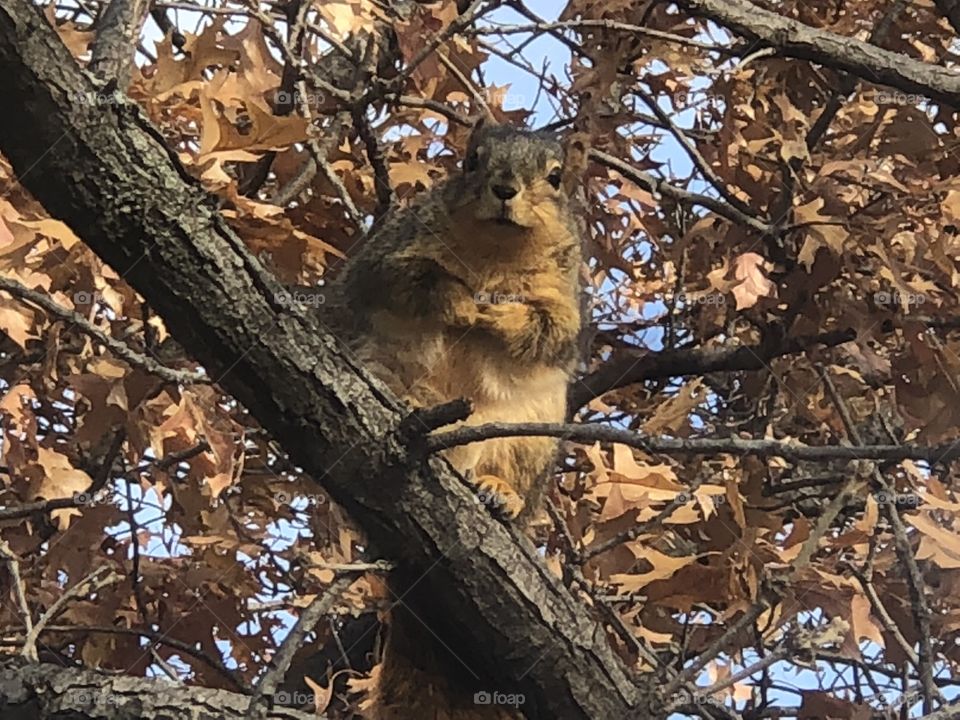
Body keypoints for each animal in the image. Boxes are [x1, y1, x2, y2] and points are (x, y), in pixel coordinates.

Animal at [330, 121, 584, 716]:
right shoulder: (394, 253)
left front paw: (497, 313)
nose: (505, 189)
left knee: (506, 474)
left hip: (527, 441)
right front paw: (465, 303)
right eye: (471, 160)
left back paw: (498, 492)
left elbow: (548, 329)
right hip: (379, 367)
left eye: (556, 177)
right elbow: (416, 282)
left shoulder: (564, 296)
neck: (498, 252)